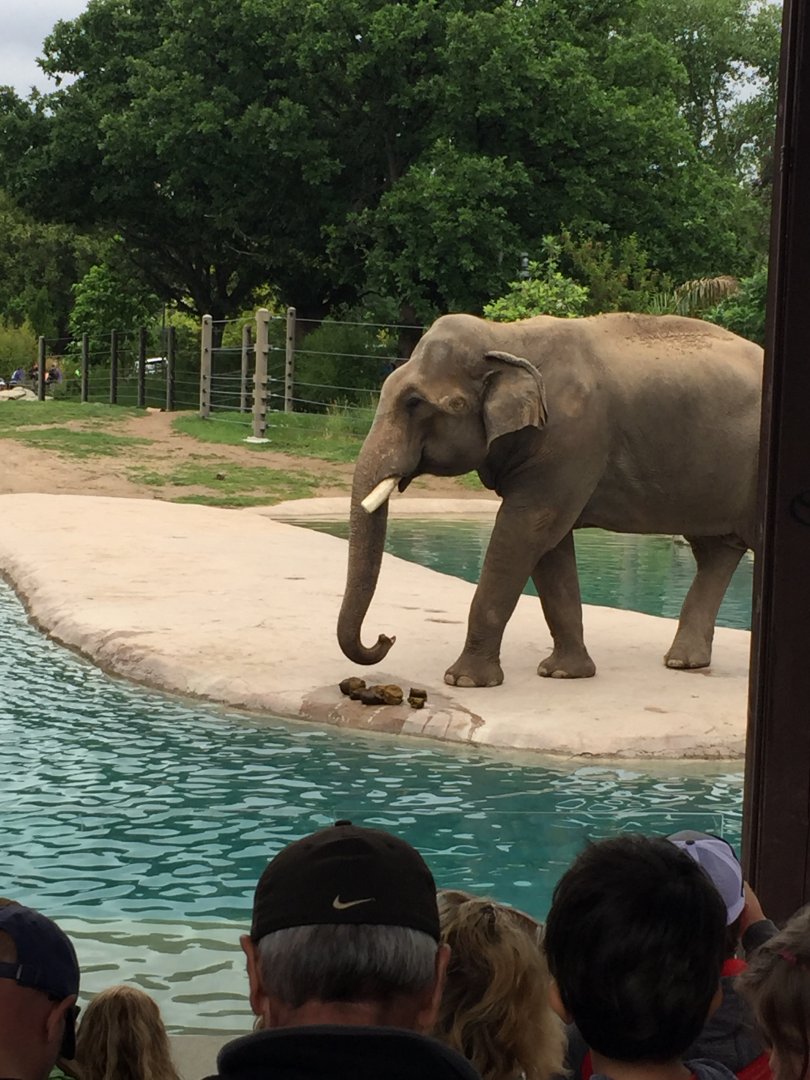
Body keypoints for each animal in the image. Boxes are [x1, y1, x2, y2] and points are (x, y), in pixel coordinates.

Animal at [337, 312, 763, 688]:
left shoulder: (570, 439)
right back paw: (683, 663)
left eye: (417, 403)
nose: (386, 638)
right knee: (715, 552)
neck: (506, 337)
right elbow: (549, 546)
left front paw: (464, 681)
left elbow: (526, 529)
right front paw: (564, 674)